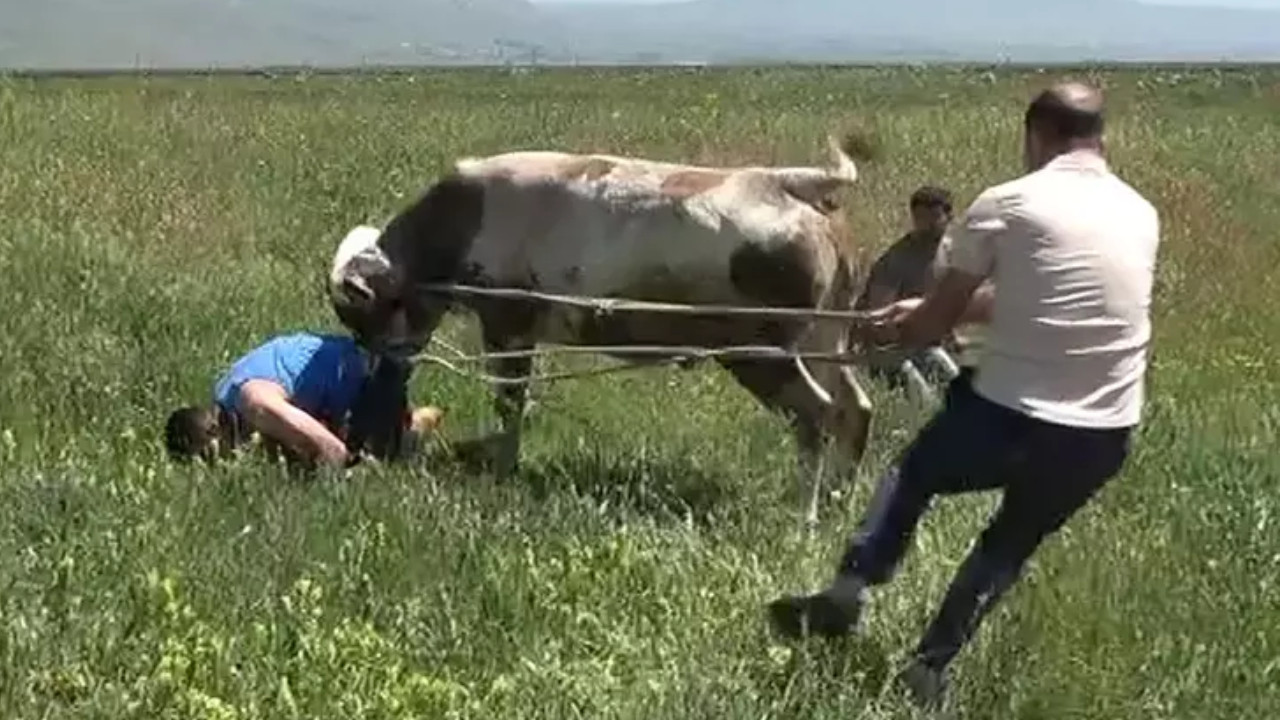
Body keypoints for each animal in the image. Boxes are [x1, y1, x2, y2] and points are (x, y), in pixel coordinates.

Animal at [325, 137, 875, 525]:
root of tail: (787, 186)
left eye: (360, 314)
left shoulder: (507, 322)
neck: (460, 224)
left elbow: (509, 401)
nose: (373, 360)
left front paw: (502, 470)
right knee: (856, 405)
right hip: (827, 338)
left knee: (818, 412)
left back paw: (804, 517)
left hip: (759, 350)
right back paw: (839, 500)